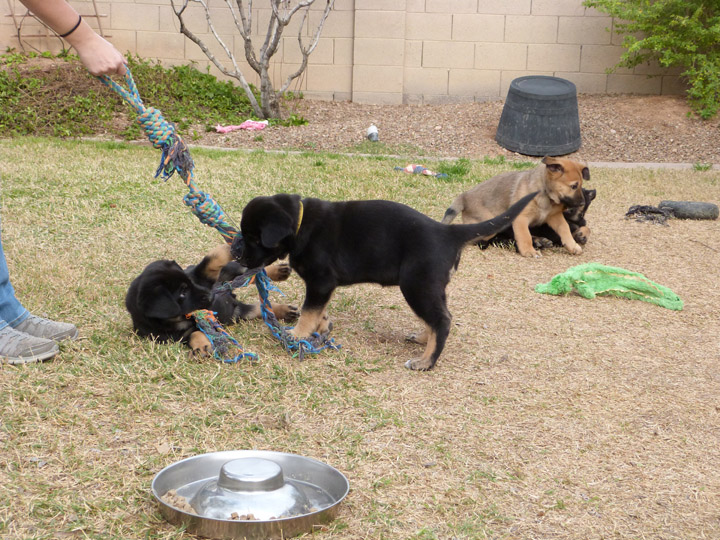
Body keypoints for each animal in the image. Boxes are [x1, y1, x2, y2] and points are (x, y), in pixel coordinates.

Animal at [126, 244, 298, 354]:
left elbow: (211, 259)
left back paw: (278, 271)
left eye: (190, 284)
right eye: (182, 293)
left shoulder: (201, 274)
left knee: (249, 272)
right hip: (238, 313)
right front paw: (201, 347)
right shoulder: (177, 336)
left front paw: (231, 247)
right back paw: (286, 311)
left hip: (229, 273)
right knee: (258, 307)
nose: (212, 295)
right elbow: (196, 332)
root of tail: (233, 297)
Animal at [233, 191, 536, 372]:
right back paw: (423, 339)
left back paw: (426, 361)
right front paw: (322, 327)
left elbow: (309, 311)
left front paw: (297, 334)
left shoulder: (321, 281)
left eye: (253, 237)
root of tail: (448, 232)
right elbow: (318, 310)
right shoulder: (322, 286)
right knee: (439, 317)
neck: (300, 224)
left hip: (416, 285)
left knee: (442, 320)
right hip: (430, 287)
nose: (237, 256)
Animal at [442, 156, 588, 258]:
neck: (545, 193)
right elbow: (524, 235)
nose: (582, 203)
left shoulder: (554, 216)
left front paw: (572, 245)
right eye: (574, 186)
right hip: (491, 225)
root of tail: (464, 196)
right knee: (484, 240)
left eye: (581, 185)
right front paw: (528, 251)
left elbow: (565, 229)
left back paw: (540, 241)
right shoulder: (521, 218)